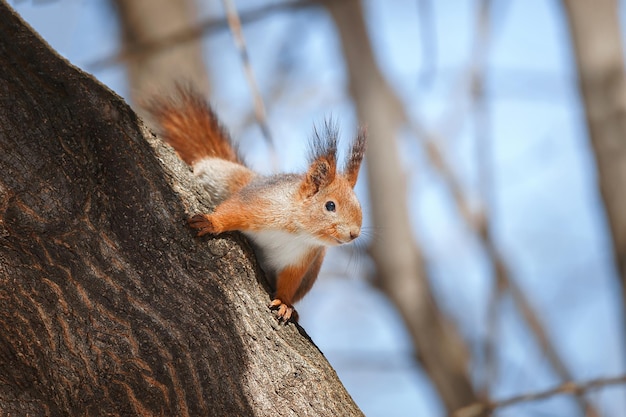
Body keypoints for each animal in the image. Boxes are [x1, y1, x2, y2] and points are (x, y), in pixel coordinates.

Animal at [148, 88, 364, 322]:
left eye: (360, 207)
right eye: (330, 206)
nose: (354, 234)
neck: (298, 231)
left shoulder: (302, 258)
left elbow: (289, 281)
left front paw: (285, 303)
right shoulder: (260, 205)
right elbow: (234, 211)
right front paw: (211, 222)